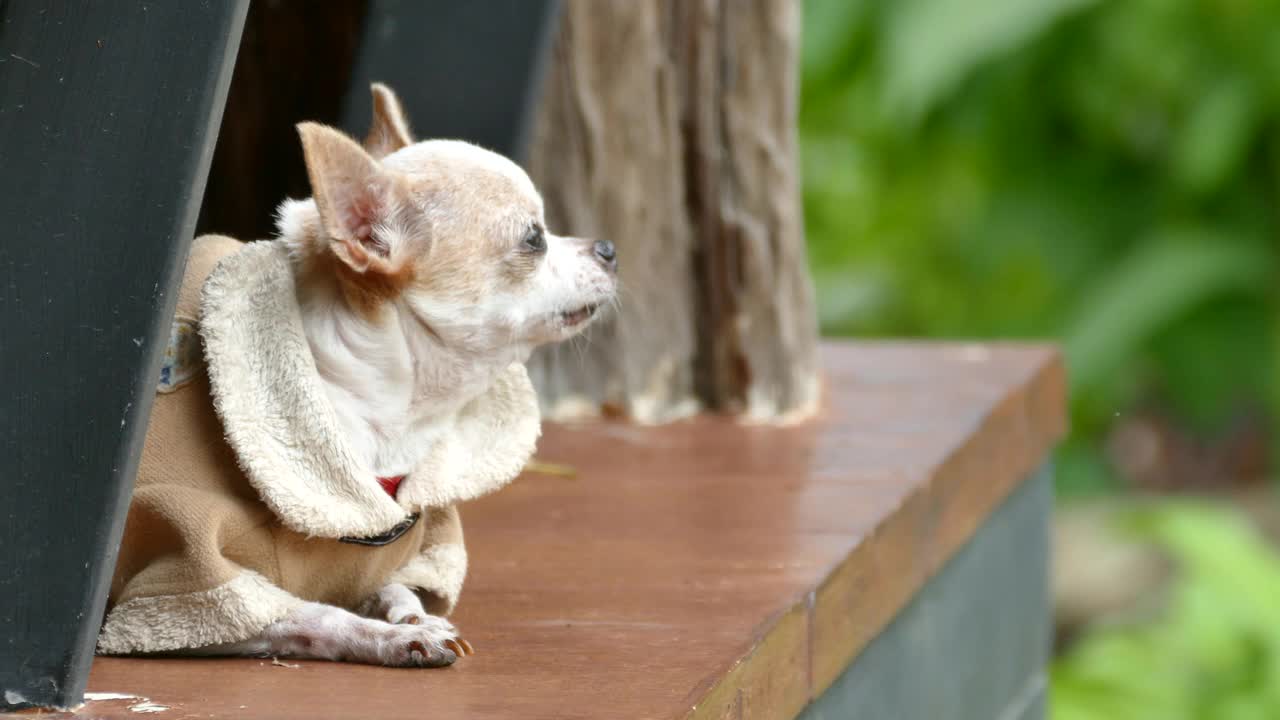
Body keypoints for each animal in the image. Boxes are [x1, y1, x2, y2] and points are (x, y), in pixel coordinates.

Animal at [97, 85, 616, 666]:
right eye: (533, 240)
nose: (609, 249)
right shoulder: (187, 578)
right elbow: (313, 613)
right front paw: (386, 637)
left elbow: (395, 587)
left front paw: (413, 619)